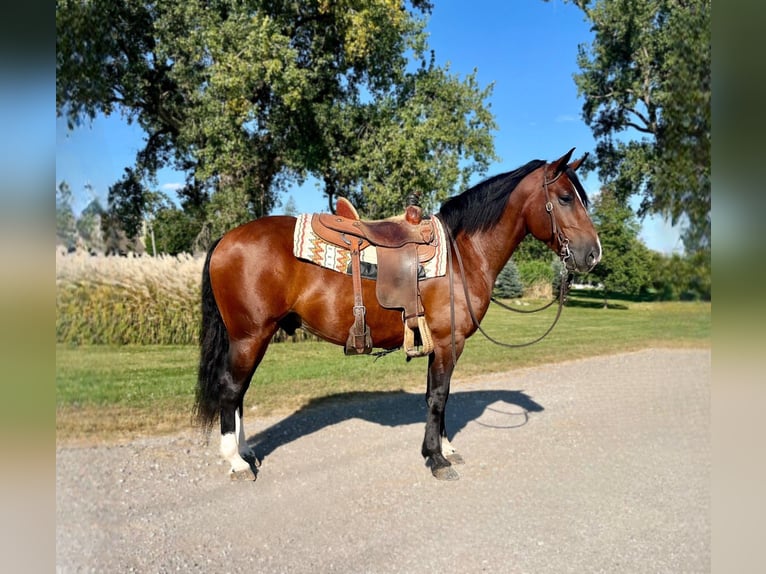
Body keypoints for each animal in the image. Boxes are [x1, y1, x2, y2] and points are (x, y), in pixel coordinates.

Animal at [195, 147, 604, 482]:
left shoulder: (438, 344)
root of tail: (226, 238)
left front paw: (444, 447)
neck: (463, 254)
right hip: (250, 336)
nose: (593, 253)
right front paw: (437, 459)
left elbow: (437, 395)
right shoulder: (448, 342)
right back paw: (236, 461)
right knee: (231, 390)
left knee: (240, 392)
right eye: (565, 198)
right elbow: (438, 396)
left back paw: (246, 452)